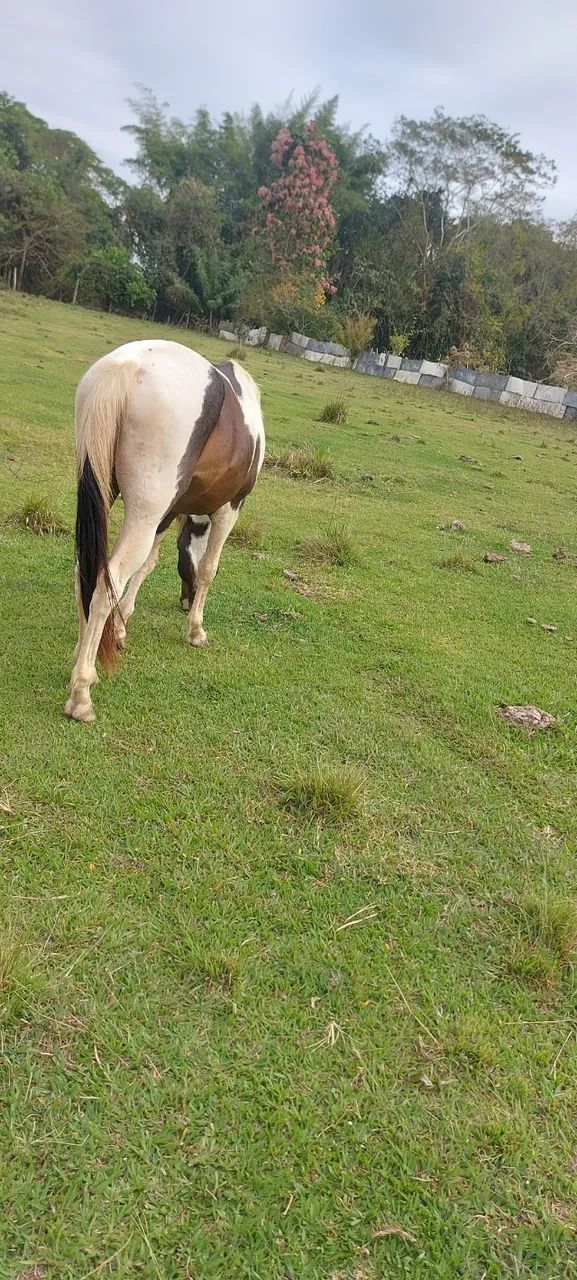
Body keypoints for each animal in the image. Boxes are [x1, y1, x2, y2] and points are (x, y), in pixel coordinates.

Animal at [65, 339, 265, 722]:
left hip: (109, 495)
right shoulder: (230, 509)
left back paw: (85, 657)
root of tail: (128, 367)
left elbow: (148, 565)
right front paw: (196, 629)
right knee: (106, 581)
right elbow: (208, 568)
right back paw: (81, 693)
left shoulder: (168, 512)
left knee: (87, 570)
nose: (186, 603)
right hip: (144, 513)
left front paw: (121, 626)